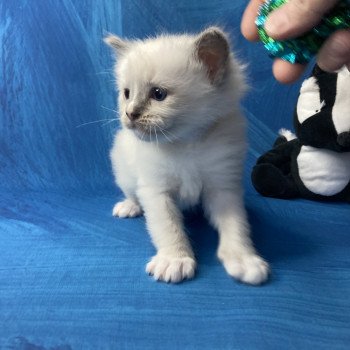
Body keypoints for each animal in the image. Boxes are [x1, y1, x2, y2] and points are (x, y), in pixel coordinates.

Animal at [105, 27, 270, 284]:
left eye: (158, 94)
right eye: (127, 93)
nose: (129, 113)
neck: (186, 143)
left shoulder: (223, 188)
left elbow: (236, 226)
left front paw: (244, 260)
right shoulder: (156, 191)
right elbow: (168, 228)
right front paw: (175, 260)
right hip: (123, 170)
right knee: (131, 193)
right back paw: (129, 207)